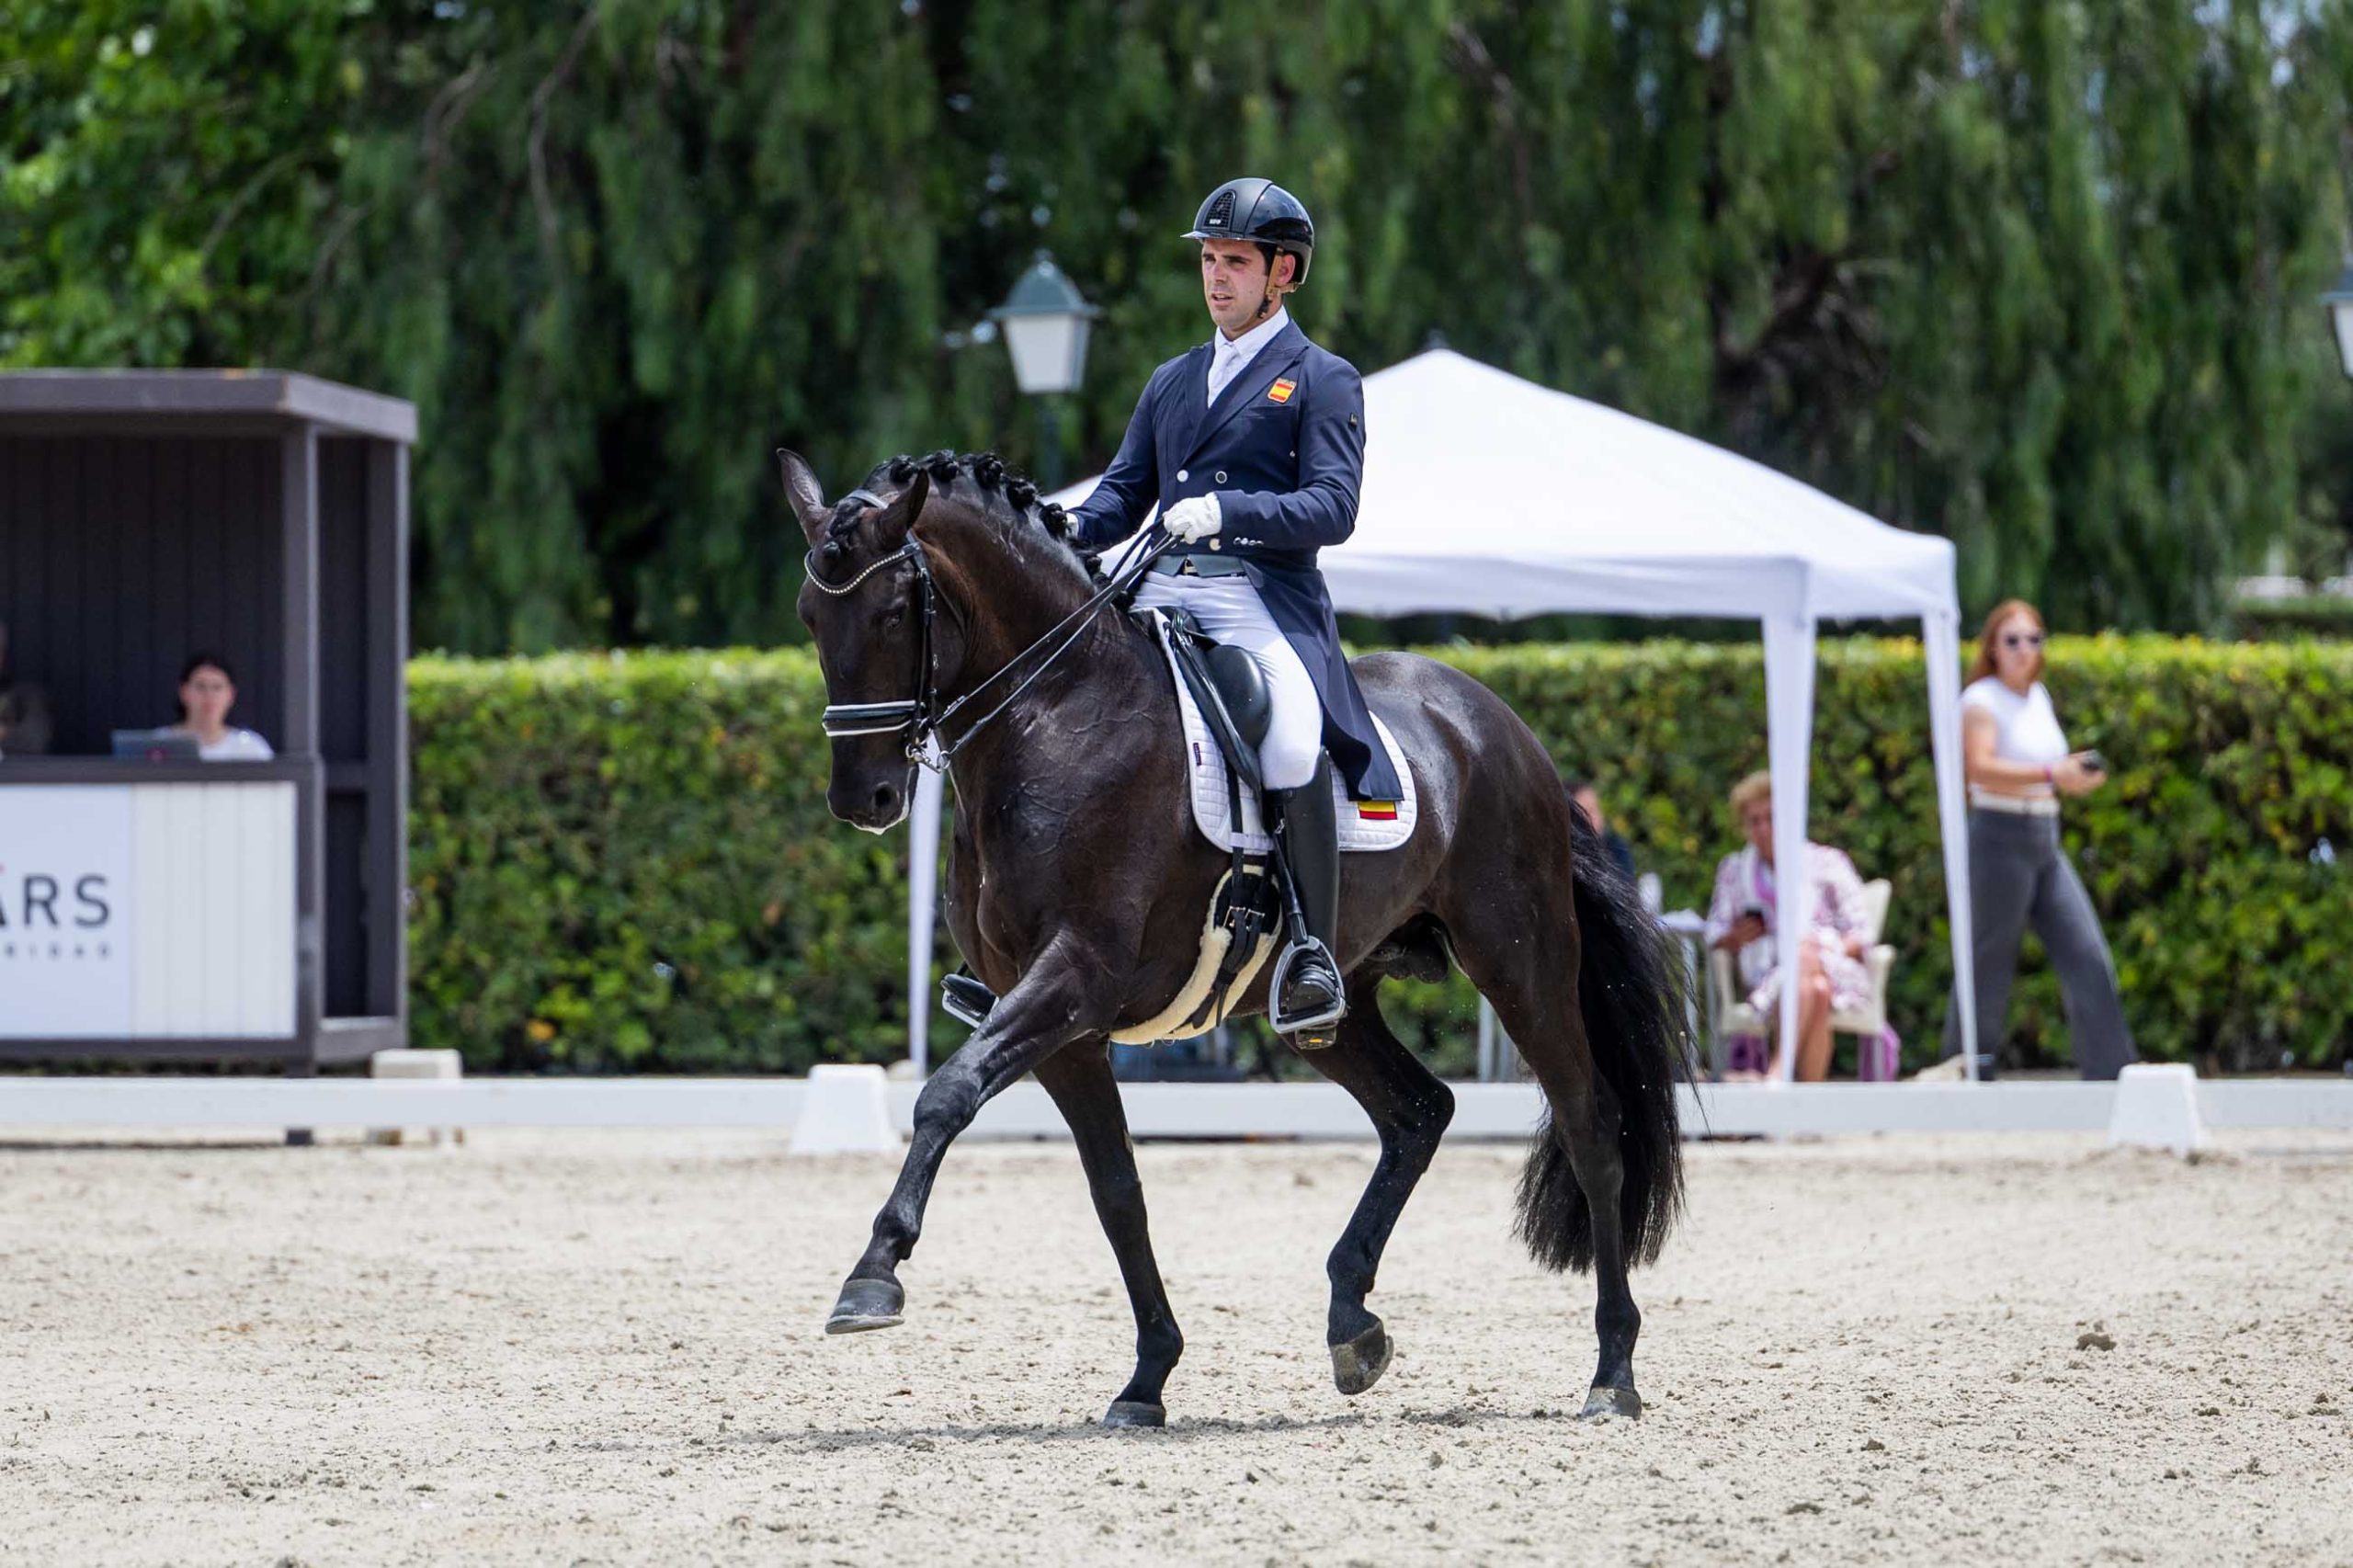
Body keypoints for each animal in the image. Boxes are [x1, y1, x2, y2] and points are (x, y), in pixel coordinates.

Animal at [790, 445, 1694, 1422]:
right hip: (1331, 1004)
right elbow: (1117, 1191)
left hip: (1522, 961)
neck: (1058, 718)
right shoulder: (1060, 1025)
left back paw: (1612, 1371)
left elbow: (945, 1096)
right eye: (809, 614)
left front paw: (873, 1275)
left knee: (1590, 1126)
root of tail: (1499, 725)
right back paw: (1353, 1325)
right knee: (1418, 1112)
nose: (864, 799)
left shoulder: (1075, 977)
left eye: (891, 612)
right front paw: (1147, 1377)